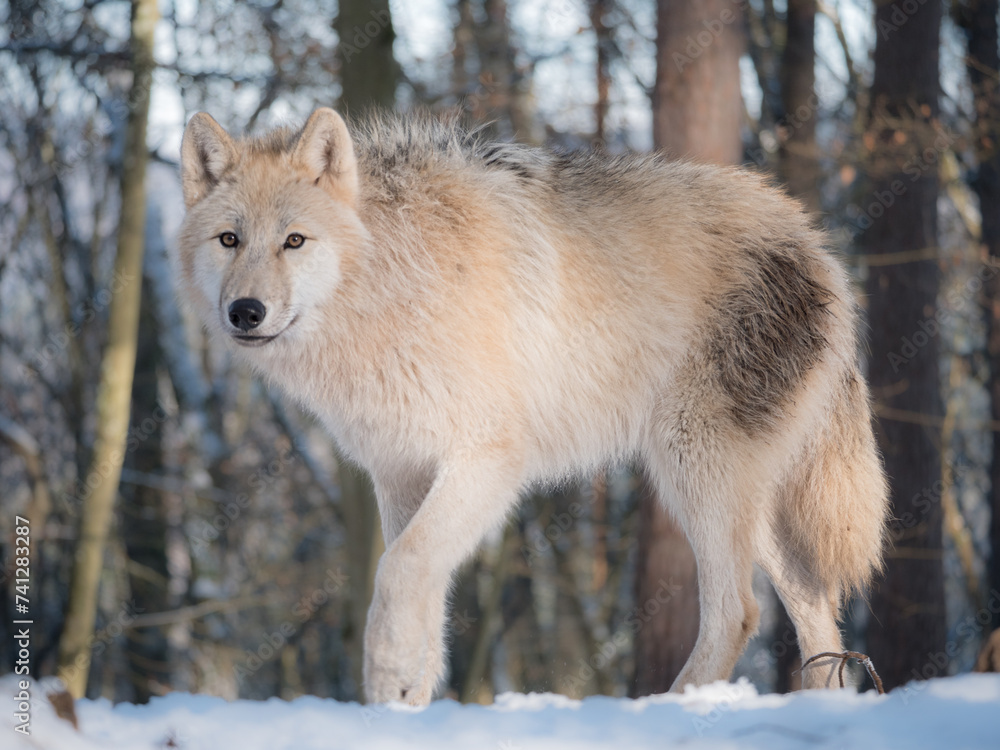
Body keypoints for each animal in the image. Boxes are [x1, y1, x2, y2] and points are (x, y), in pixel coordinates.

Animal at [174, 107, 888, 705]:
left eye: (294, 241)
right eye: (229, 240)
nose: (245, 312)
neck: (389, 283)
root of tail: (819, 245)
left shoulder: (487, 460)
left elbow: (398, 570)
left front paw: (388, 683)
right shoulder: (401, 473)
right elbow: (423, 599)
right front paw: (404, 706)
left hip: (695, 467)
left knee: (739, 611)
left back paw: (667, 707)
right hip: (745, 497)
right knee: (814, 609)